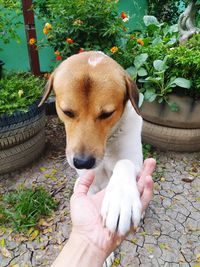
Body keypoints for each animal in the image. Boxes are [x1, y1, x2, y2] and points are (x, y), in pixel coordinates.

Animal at [38, 50, 142, 253]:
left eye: (107, 114)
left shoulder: (135, 160)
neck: (109, 142)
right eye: (67, 112)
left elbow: (124, 163)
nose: (82, 162)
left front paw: (121, 199)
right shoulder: (92, 182)